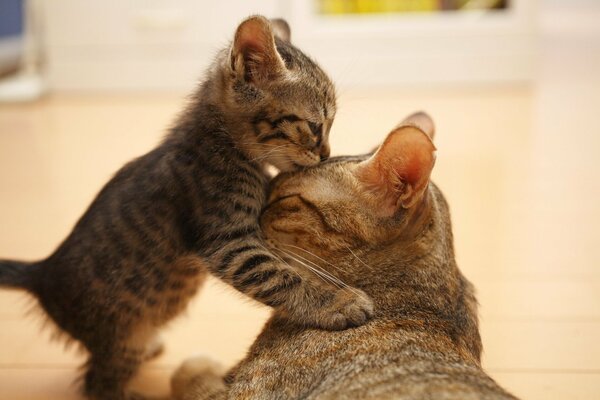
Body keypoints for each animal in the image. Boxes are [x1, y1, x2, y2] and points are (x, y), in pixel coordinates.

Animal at [0, 15, 372, 400]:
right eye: (315, 126)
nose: (326, 154)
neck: (224, 145)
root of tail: (43, 273)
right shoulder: (227, 242)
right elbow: (281, 276)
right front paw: (337, 302)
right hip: (123, 334)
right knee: (96, 384)